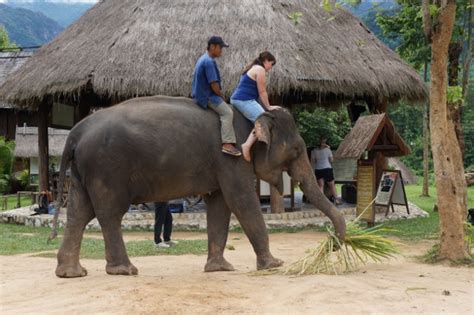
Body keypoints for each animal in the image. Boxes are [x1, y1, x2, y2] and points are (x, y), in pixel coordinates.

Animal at [51, 95, 346, 278]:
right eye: (296, 150)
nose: (333, 243)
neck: (252, 116)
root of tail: (75, 132)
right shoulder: (231, 156)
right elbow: (241, 201)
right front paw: (273, 265)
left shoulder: (221, 164)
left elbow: (220, 205)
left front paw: (220, 268)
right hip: (107, 168)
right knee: (109, 213)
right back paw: (124, 270)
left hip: (83, 172)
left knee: (79, 212)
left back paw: (72, 273)